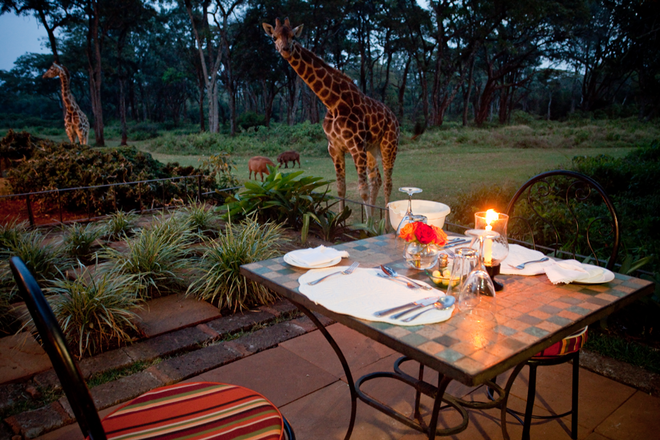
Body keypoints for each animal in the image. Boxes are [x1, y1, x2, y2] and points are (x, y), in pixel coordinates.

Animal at [263, 18, 399, 218]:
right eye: (274, 37)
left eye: (294, 36)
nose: (285, 49)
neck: (332, 103)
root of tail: (394, 117)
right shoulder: (335, 148)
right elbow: (341, 188)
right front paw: (343, 220)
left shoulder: (356, 146)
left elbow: (362, 190)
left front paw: (367, 225)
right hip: (372, 149)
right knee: (377, 180)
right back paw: (377, 221)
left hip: (389, 144)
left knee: (388, 183)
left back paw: (386, 223)